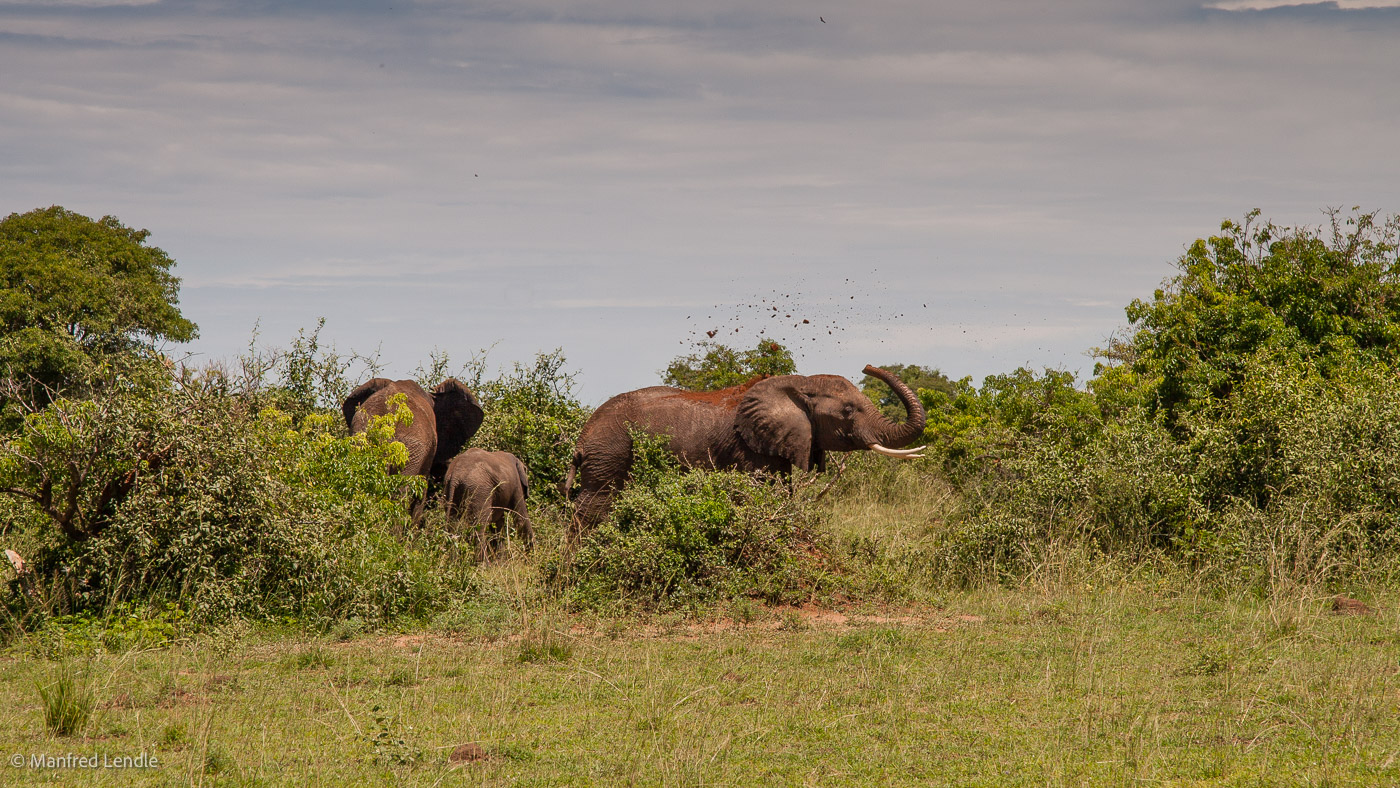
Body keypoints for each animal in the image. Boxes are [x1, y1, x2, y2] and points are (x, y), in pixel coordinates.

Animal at [562, 366, 924, 529]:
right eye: (848, 411)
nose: (868, 367)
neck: (800, 383)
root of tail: (583, 435)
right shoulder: (748, 448)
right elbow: (760, 495)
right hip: (610, 450)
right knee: (596, 505)